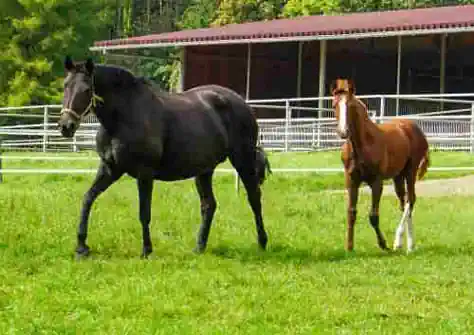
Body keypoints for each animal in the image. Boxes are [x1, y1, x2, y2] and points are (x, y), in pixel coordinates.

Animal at [57, 56, 272, 258]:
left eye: (86, 89)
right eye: (65, 85)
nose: (66, 126)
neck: (124, 116)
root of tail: (242, 103)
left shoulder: (145, 173)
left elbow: (144, 212)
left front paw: (146, 250)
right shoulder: (110, 168)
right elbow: (87, 199)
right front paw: (81, 247)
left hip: (242, 159)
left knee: (254, 198)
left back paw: (262, 242)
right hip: (204, 169)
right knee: (208, 205)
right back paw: (199, 247)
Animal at [334, 80, 430, 255]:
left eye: (350, 106)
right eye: (334, 105)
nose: (343, 132)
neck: (362, 145)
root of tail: (415, 128)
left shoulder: (376, 182)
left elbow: (373, 215)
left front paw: (383, 244)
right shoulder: (351, 180)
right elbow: (351, 212)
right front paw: (349, 247)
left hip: (410, 171)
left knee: (411, 200)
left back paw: (400, 243)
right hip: (398, 176)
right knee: (404, 202)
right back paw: (408, 244)